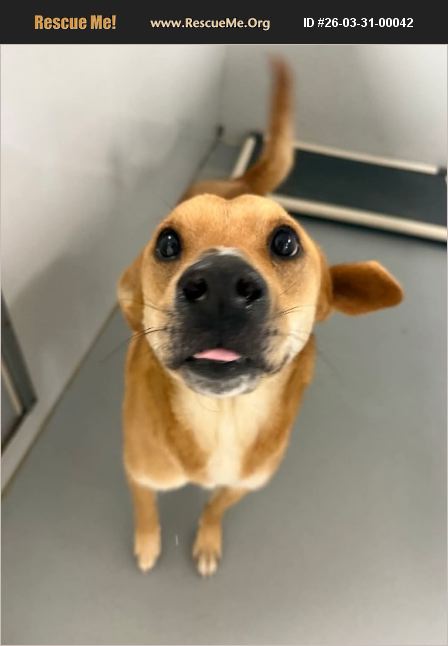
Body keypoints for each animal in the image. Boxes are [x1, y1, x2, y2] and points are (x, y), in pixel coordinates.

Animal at [118, 60, 403, 577]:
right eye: (167, 242)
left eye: (286, 242)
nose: (220, 286)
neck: (222, 419)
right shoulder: (141, 473)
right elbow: (146, 511)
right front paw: (148, 543)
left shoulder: (243, 484)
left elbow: (214, 507)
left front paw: (207, 540)